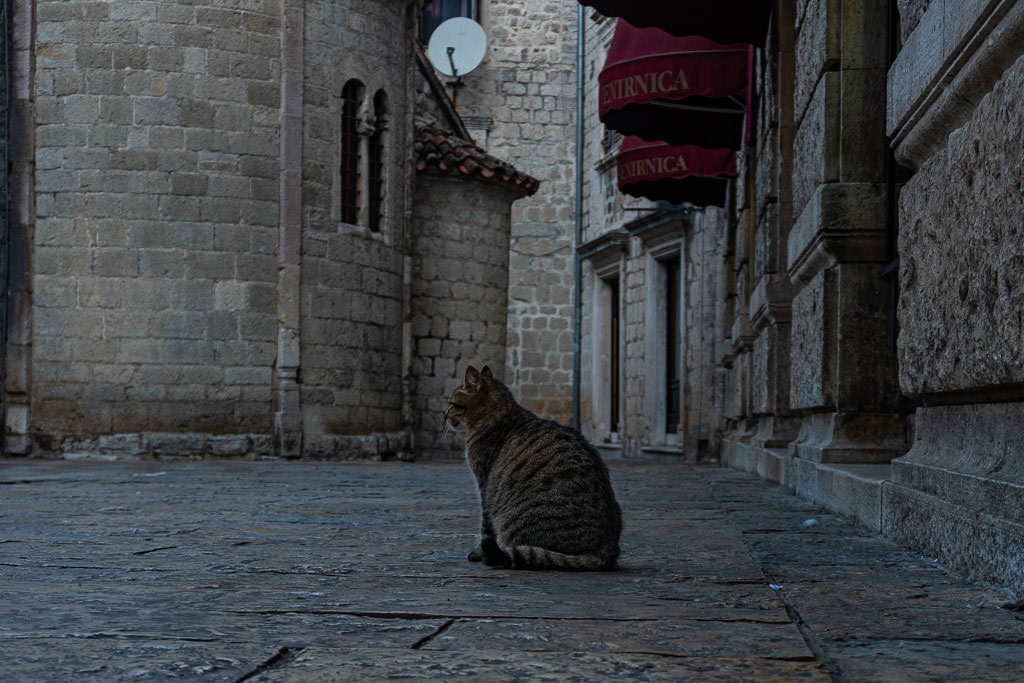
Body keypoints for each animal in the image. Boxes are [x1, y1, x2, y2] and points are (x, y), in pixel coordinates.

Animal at [444, 366, 618, 569]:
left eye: (452, 403)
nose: (444, 416)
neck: (498, 414)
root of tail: (607, 550)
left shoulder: (485, 486)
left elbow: (486, 528)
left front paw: (479, 553)